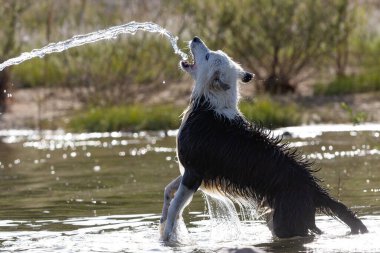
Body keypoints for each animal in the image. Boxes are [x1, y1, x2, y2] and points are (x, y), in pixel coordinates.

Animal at [159, 36, 366, 240]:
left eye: (208, 55)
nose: (195, 38)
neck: (208, 104)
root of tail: (314, 189)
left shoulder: (193, 173)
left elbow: (176, 207)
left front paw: (167, 237)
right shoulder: (192, 170)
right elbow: (168, 190)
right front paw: (163, 222)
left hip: (287, 222)